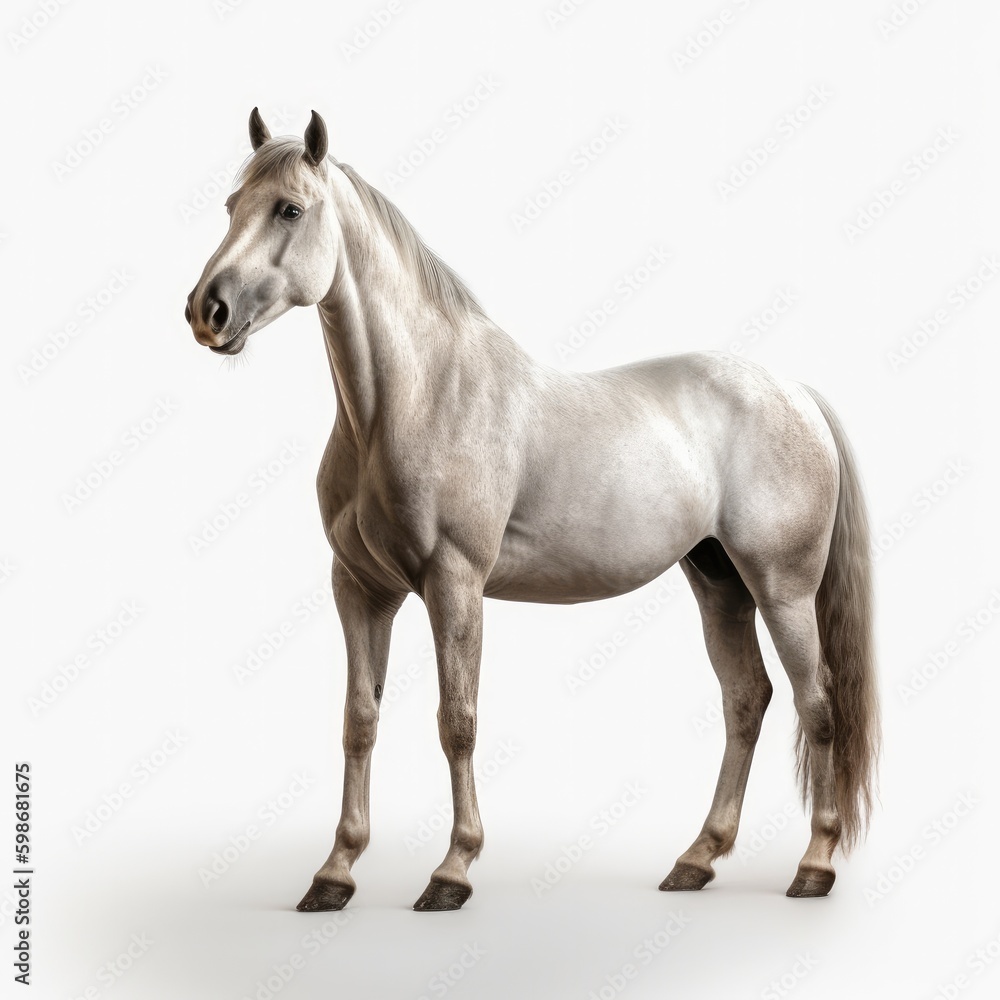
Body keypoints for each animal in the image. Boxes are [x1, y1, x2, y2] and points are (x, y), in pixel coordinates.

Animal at [184, 108, 880, 912]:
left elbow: (457, 721)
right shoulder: (360, 589)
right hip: (718, 582)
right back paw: (697, 859)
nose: (206, 311)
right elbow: (359, 721)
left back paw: (814, 865)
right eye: (231, 206)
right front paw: (335, 873)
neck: (416, 397)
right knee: (748, 700)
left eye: (289, 209)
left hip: (782, 587)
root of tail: (796, 393)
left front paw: (452, 872)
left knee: (816, 704)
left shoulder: (455, 583)